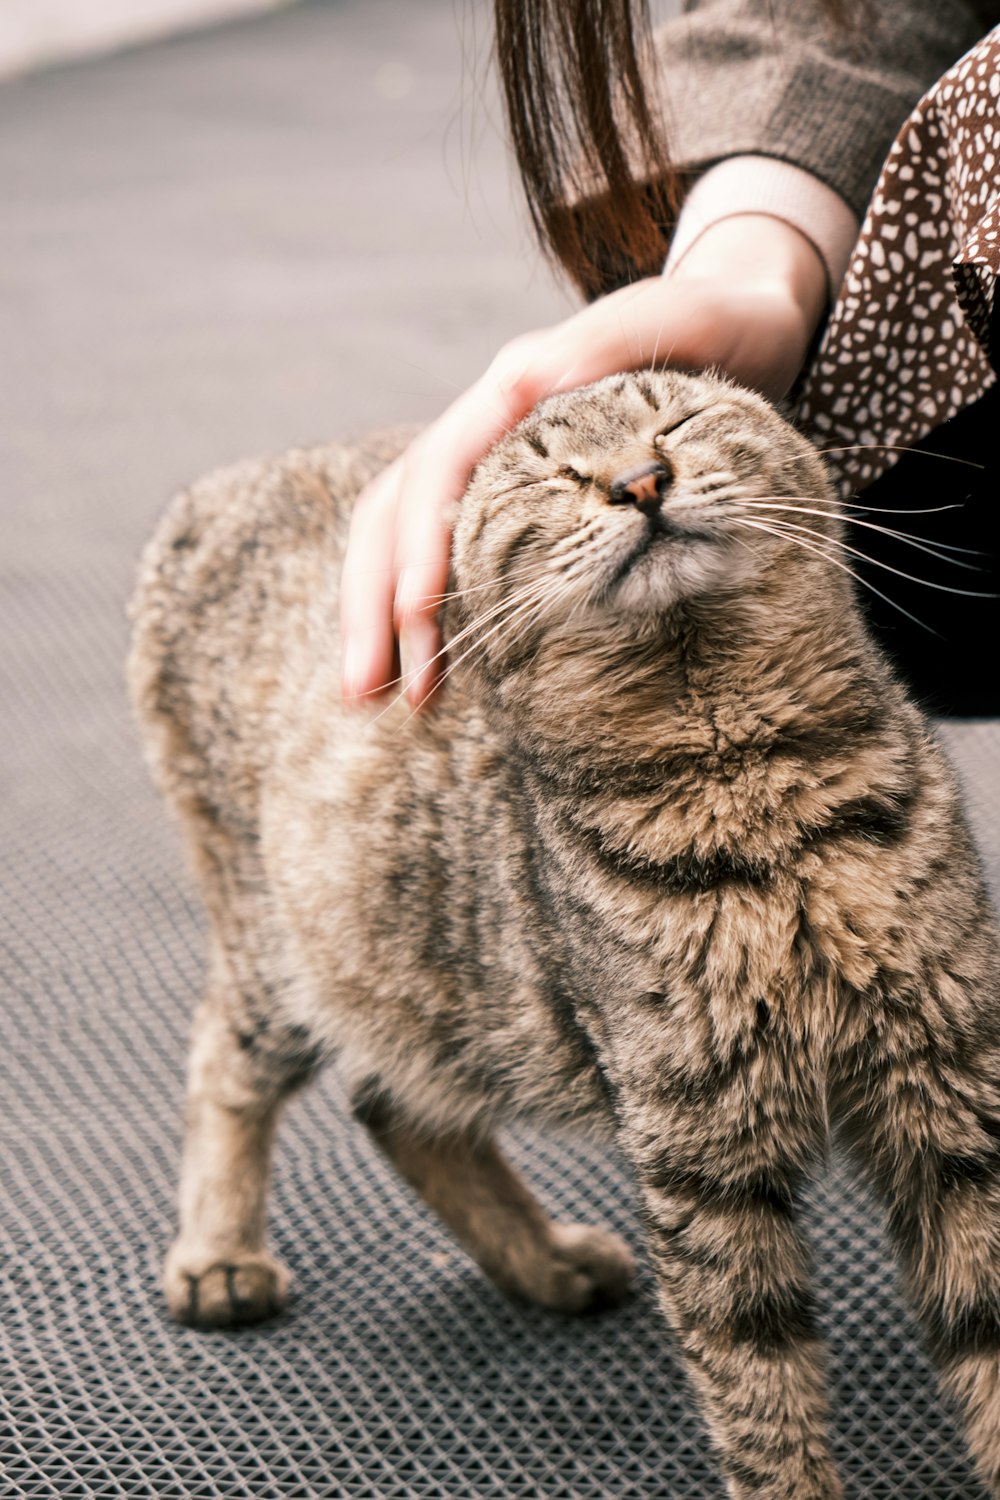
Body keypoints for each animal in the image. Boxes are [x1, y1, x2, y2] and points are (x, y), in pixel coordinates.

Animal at [128, 372, 1000, 1500]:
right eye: (552, 471)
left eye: (676, 421)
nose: (639, 480)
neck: (755, 805)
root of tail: (224, 485)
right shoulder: (700, 1153)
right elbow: (758, 1388)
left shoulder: (949, 1090)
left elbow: (983, 1329)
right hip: (287, 945)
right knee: (224, 1062)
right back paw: (219, 1254)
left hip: (428, 981)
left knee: (391, 1103)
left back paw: (545, 1261)